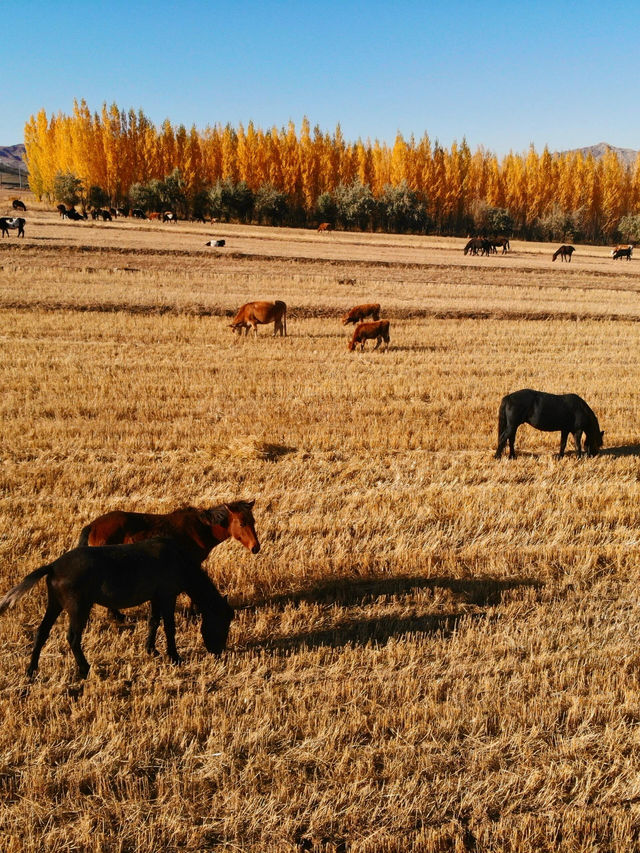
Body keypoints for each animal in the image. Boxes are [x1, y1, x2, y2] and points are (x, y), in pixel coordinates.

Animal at [0, 540, 234, 680]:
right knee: (73, 638)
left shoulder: (156, 597)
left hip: (54, 604)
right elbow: (169, 626)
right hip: (78, 608)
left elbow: (153, 621)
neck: (178, 562)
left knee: (42, 633)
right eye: (223, 623)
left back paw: (31, 670)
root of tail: (54, 566)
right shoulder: (167, 596)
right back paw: (84, 668)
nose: (218, 651)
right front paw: (175, 657)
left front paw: (151, 649)